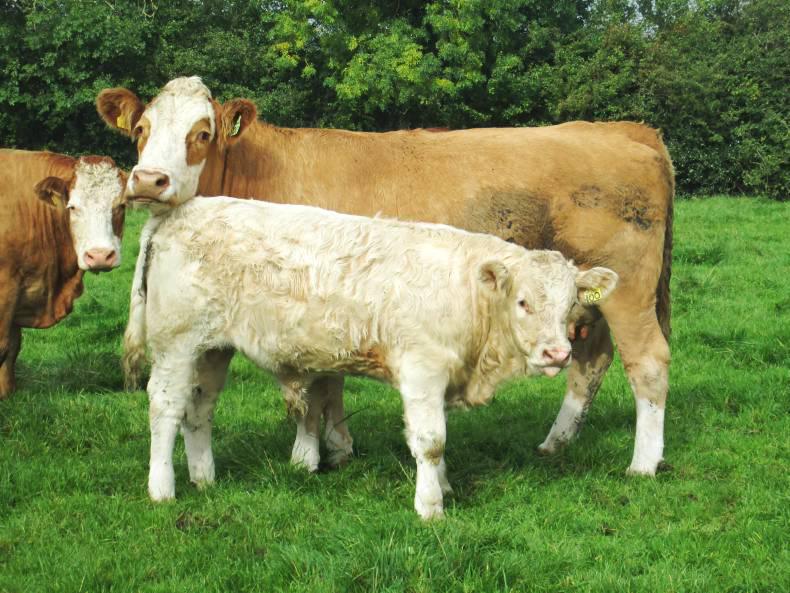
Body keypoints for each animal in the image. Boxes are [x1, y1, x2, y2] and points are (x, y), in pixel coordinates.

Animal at [0, 150, 126, 397]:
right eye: (73, 207)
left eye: (121, 205)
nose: (100, 255)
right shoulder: (5, 287)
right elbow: (3, 346)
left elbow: (12, 347)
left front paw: (8, 393)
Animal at [97, 76, 674, 476]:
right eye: (141, 130)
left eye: (201, 133)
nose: (148, 180)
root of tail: (624, 130)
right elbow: (325, 381)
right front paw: (337, 446)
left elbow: (312, 387)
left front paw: (308, 455)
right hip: (584, 296)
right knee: (590, 360)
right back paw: (556, 442)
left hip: (630, 292)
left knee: (648, 362)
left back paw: (643, 463)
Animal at [137, 195, 619, 517]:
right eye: (523, 302)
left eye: (569, 304)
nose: (557, 352)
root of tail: (182, 209)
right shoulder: (422, 370)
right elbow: (431, 441)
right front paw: (431, 506)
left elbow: (439, 443)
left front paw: (443, 486)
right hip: (175, 343)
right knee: (165, 408)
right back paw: (162, 488)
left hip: (212, 350)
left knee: (198, 411)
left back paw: (204, 478)